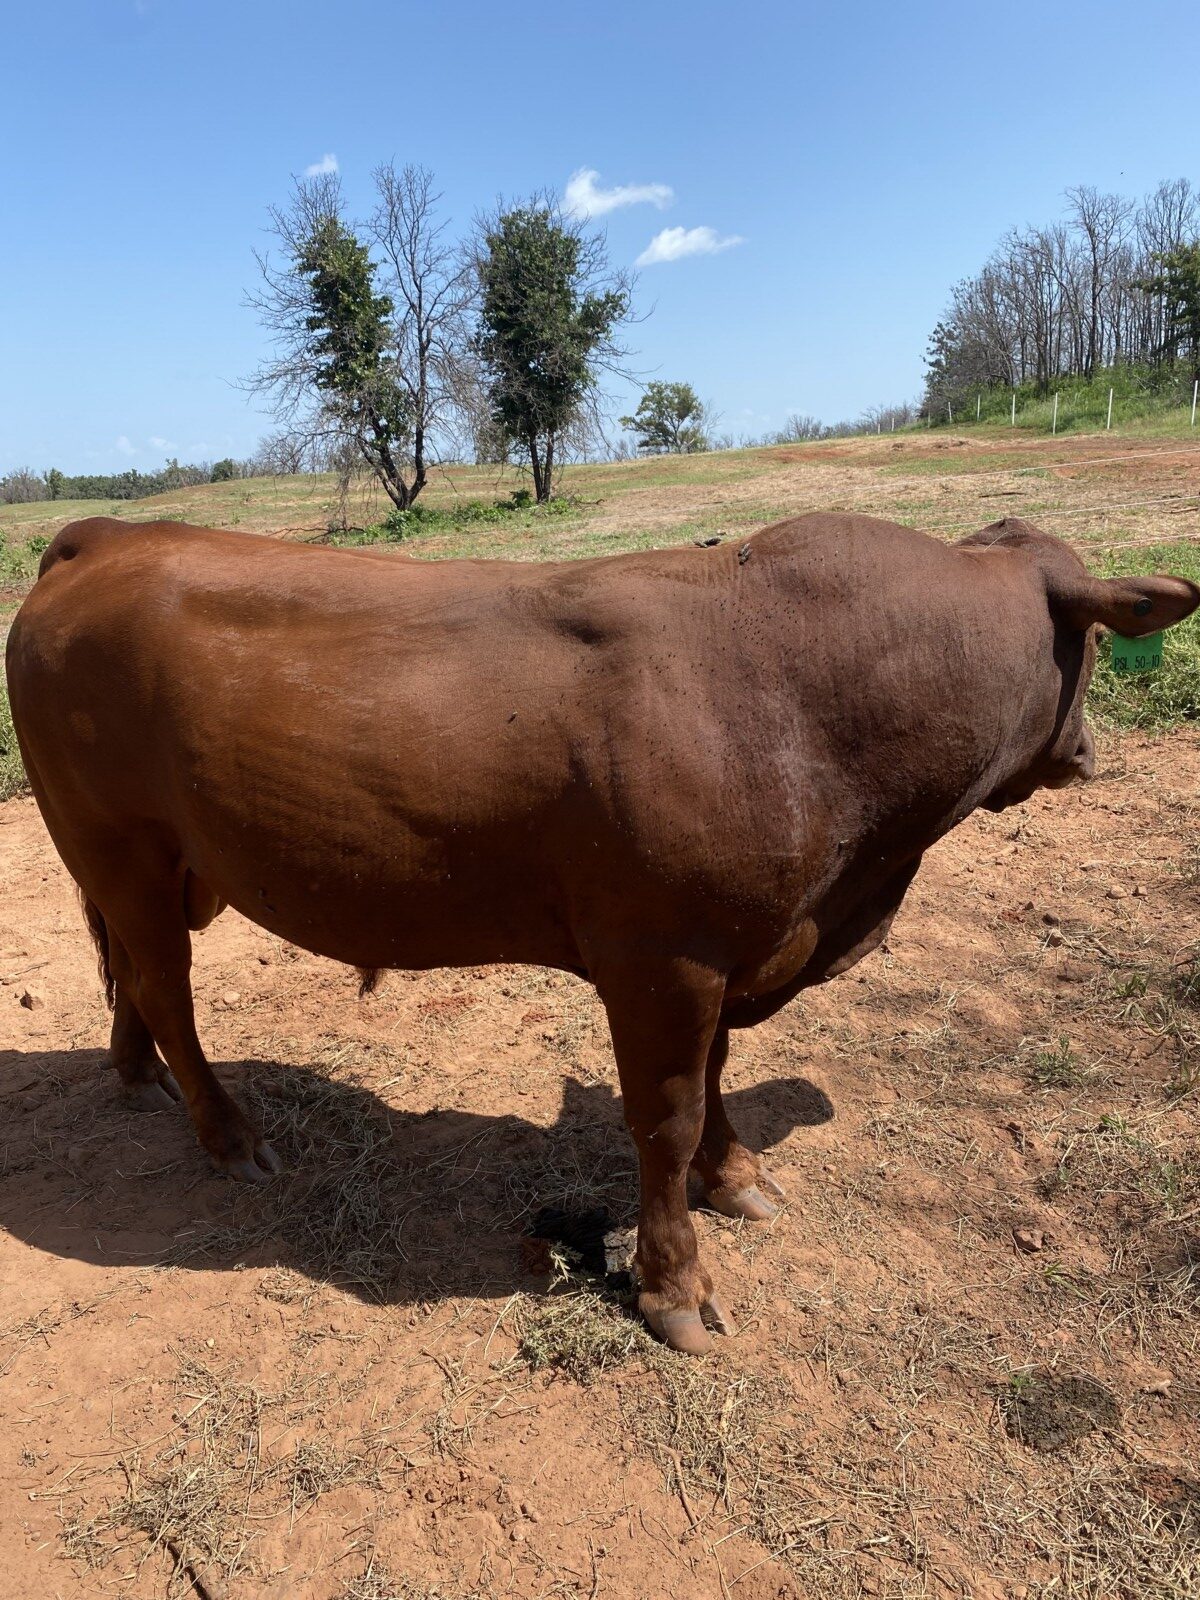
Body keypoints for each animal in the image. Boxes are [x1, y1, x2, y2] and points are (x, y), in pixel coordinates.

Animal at [6, 512, 1197, 1353]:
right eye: (1096, 640)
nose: (1088, 753)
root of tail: (112, 536)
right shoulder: (660, 960)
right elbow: (664, 1119)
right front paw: (676, 1282)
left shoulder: (723, 954)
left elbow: (714, 1082)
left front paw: (737, 1174)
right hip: (123, 849)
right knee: (165, 987)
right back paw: (226, 1132)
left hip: (157, 868)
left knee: (128, 975)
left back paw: (135, 1077)